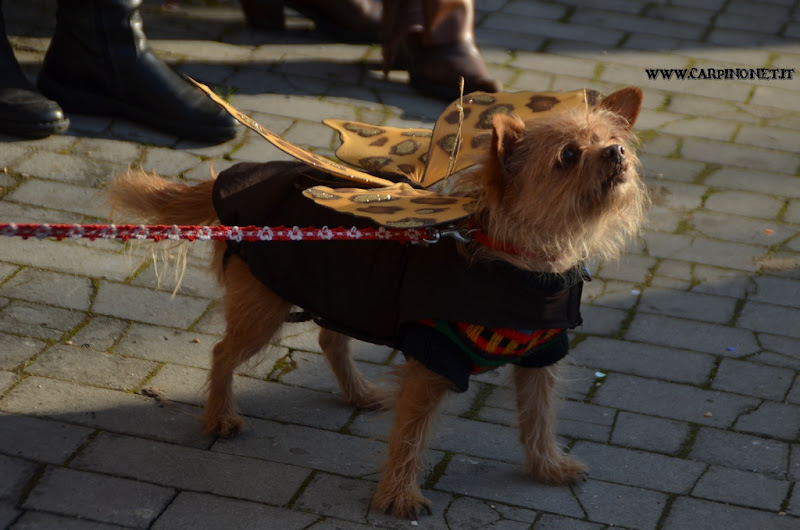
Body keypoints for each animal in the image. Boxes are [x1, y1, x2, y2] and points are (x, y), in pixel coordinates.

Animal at [111, 85, 644, 516]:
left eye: (607, 141)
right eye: (568, 156)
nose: (617, 151)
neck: (520, 263)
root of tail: (235, 182)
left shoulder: (540, 358)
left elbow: (539, 417)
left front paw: (546, 466)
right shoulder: (433, 361)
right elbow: (410, 433)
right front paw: (398, 496)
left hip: (346, 292)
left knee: (329, 340)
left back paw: (357, 393)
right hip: (265, 308)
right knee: (223, 353)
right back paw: (220, 416)